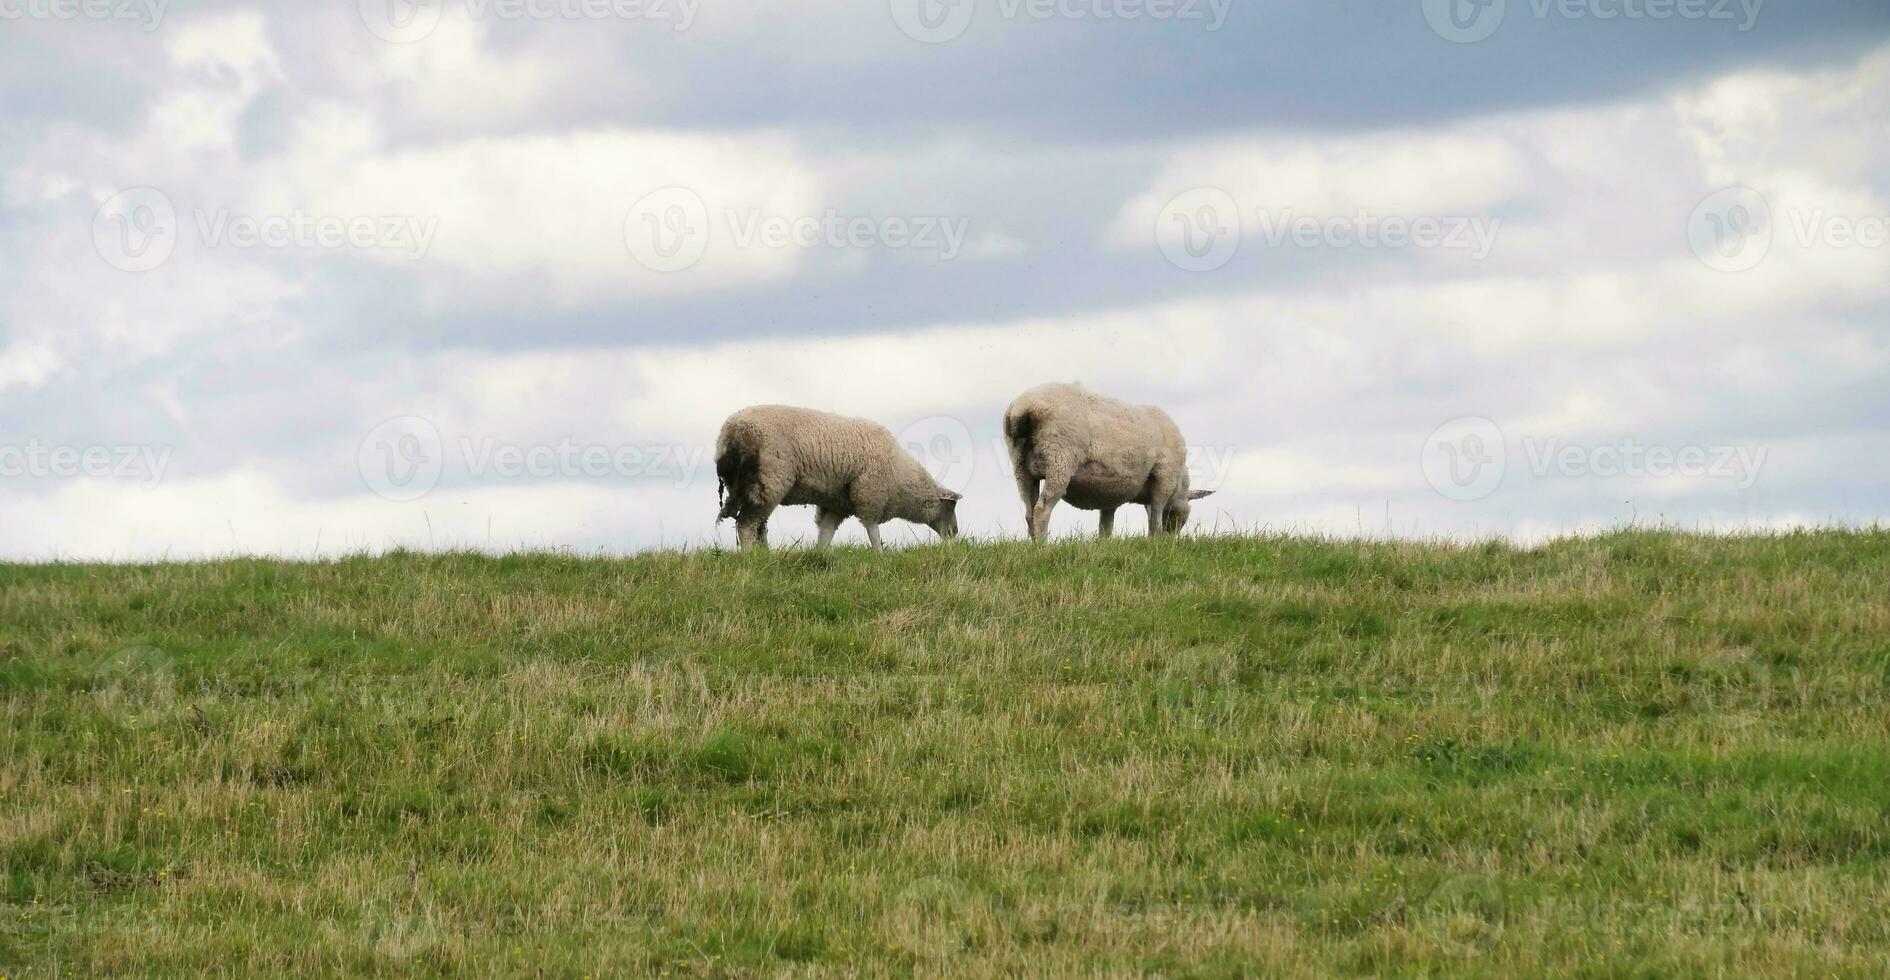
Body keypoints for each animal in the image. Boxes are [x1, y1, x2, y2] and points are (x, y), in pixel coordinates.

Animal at [714, 402, 967, 547]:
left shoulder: (836, 504)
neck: (901, 480)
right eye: (950, 506)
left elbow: (826, 533)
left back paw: (765, 554)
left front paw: (820, 555)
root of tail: (731, 432)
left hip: (746, 486)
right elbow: (873, 531)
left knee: (759, 525)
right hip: (769, 479)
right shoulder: (869, 495)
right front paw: (880, 555)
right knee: (747, 524)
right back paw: (751, 556)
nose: (955, 533)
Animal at [997, 383, 1217, 540]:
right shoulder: (1164, 478)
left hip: (1021, 467)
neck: (1179, 484)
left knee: (1029, 512)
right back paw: (1044, 546)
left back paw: (1033, 545)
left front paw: (1104, 544)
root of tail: (1024, 407)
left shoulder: (1110, 493)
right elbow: (1155, 517)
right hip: (1059, 460)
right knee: (1042, 510)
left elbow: (1106, 525)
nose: (1171, 540)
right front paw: (1155, 541)